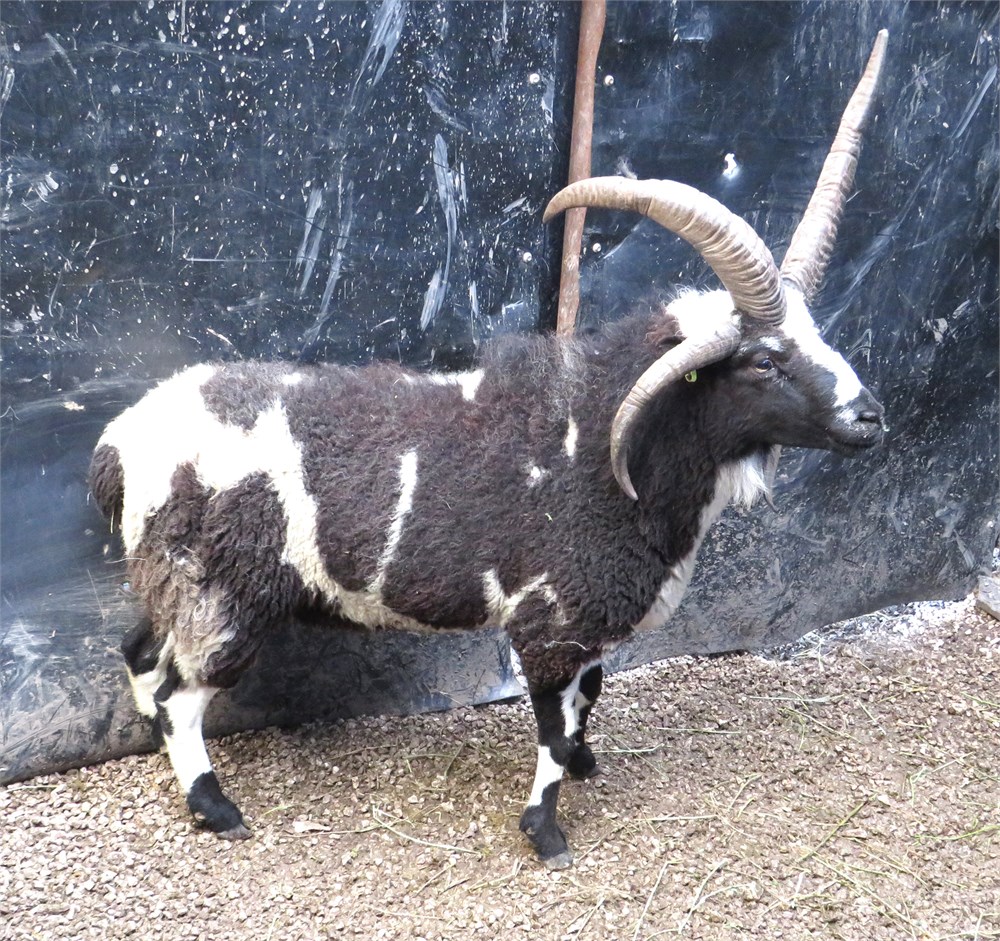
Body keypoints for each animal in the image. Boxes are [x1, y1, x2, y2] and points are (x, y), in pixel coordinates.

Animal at [89, 32, 888, 869]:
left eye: (818, 334)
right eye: (763, 360)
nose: (871, 417)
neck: (604, 439)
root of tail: (119, 444)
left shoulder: (588, 620)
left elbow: (586, 703)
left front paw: (587, 762)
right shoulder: (550, 618)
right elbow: (549, 726)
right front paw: (547, 830)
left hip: (174, 578)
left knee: (141, 653)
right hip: (222, 591)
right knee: (182, 694)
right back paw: (214, 806)